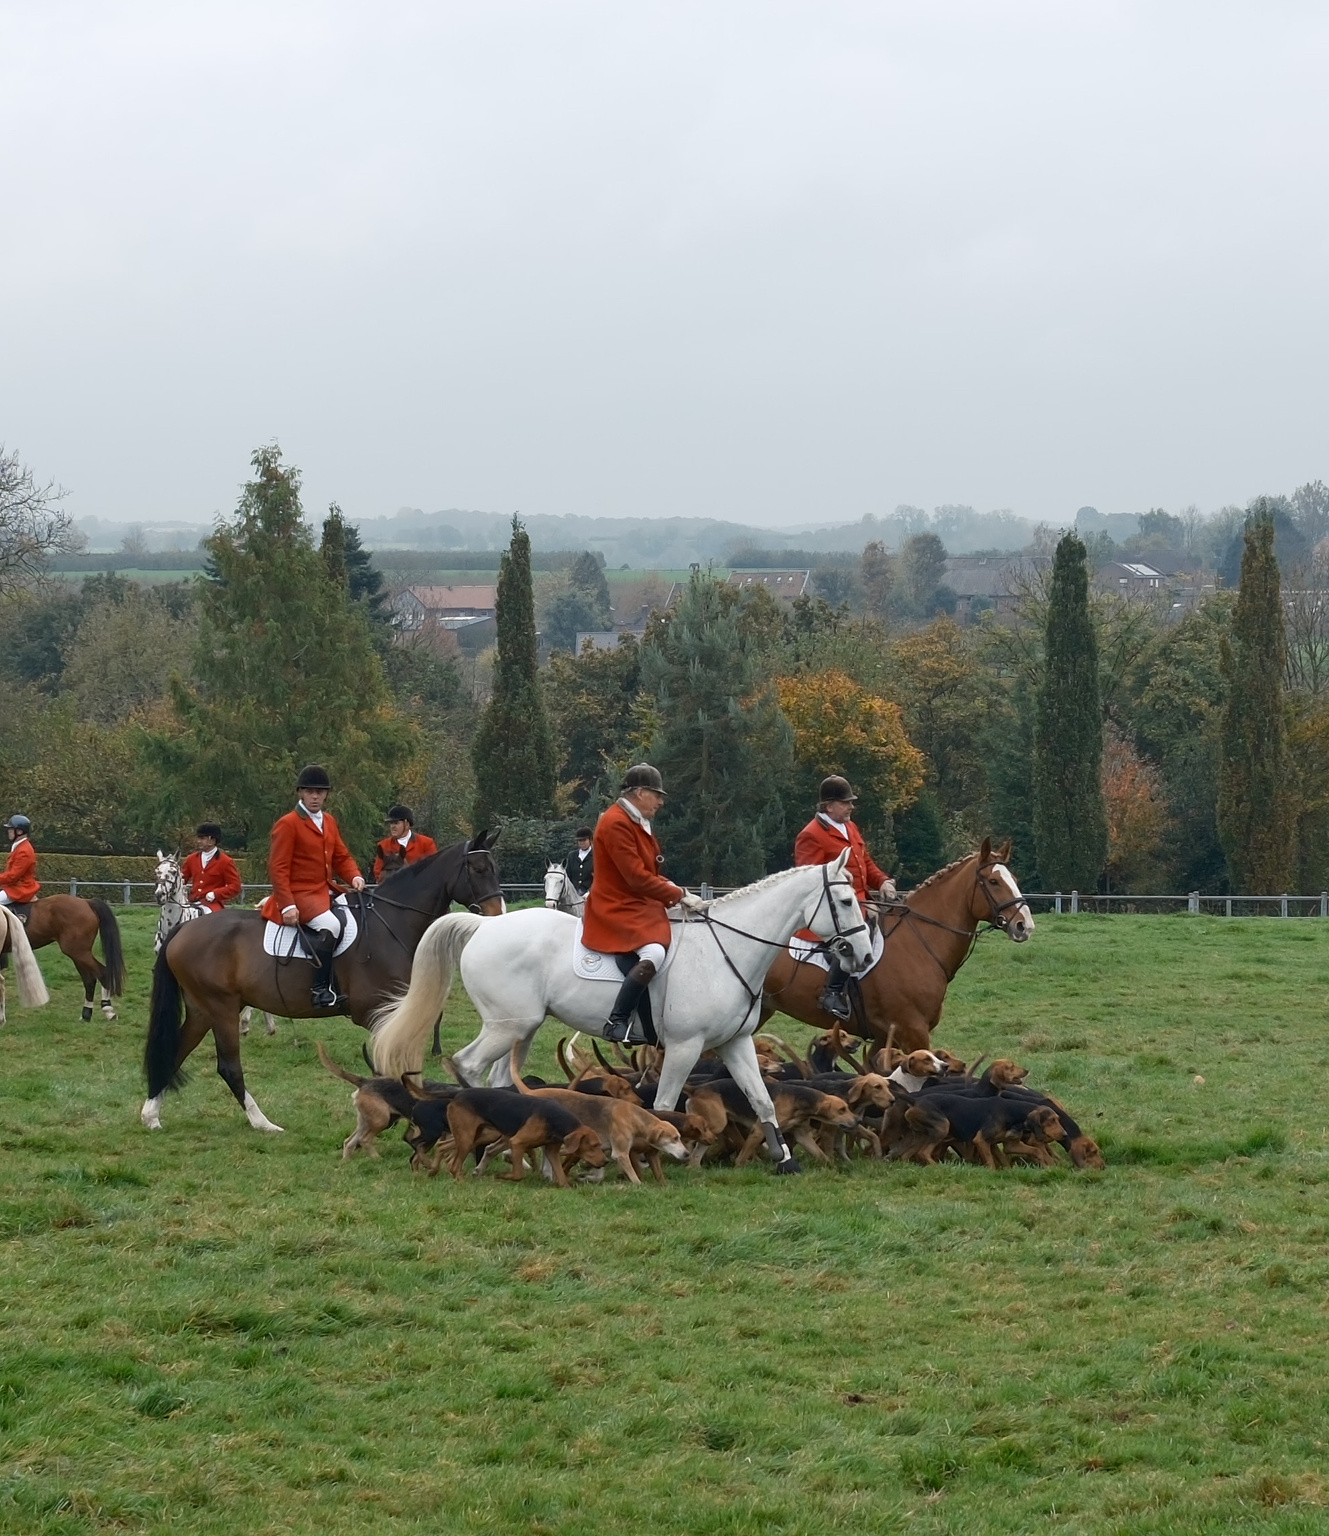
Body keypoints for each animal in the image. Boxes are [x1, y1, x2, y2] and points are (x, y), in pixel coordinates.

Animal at [20, 890, 125, 1019]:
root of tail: (86, 901)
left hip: (78, 952)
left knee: (102, 973)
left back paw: (108, 1010)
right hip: (78, 953)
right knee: (89, 979)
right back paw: (86, 1013)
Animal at [139, 835, 503, 1136]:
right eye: (479, 868)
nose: (497, 915)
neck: (391, 924)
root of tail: (184, 930)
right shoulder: (378, 1013)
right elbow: (387, 1067)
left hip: (203, 1010)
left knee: (176, 1051)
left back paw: (151, 1114)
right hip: (221, 1008)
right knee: (228, 1067)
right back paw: (263, 1123)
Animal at [373, 860, 872, 1167]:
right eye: (847, 902)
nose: (864, 956)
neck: (726, 949)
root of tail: (485, 925)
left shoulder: (735, 1043)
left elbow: (763, 1099)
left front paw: (783, 1159)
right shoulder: (685, 1047)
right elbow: (666, 1104)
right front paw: (661, 1154)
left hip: (522, 1029)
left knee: (497, 1077)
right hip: (506, 1025)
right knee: (468, 1065)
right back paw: (478, 1143)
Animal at [755, 841, 1038, 1056]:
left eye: (1014, 879)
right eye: (993, 881)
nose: (1025, 926)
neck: (918, 942)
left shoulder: (885, 1036)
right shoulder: (913, 1031)